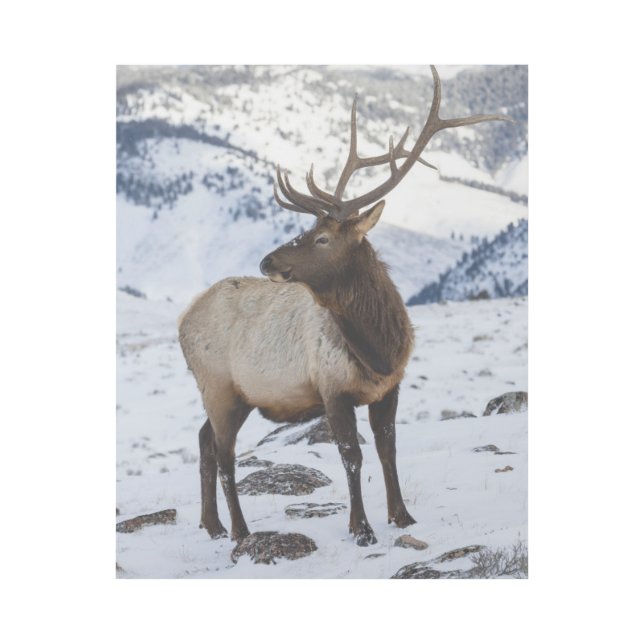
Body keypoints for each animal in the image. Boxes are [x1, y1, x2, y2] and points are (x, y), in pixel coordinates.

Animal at [178, 66, 511, 546]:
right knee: (224, 454)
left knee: (204, 441)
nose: (267, 261)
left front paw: (402, 516)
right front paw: (362, 528)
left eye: (321, 237)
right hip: (218, 386)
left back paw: (213, 525)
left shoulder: (389, 387)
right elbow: (351, 456)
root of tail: (182, 321)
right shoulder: (332, 389)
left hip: (231, 396)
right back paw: (241, 530)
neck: (378, 348)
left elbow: (388, 449)